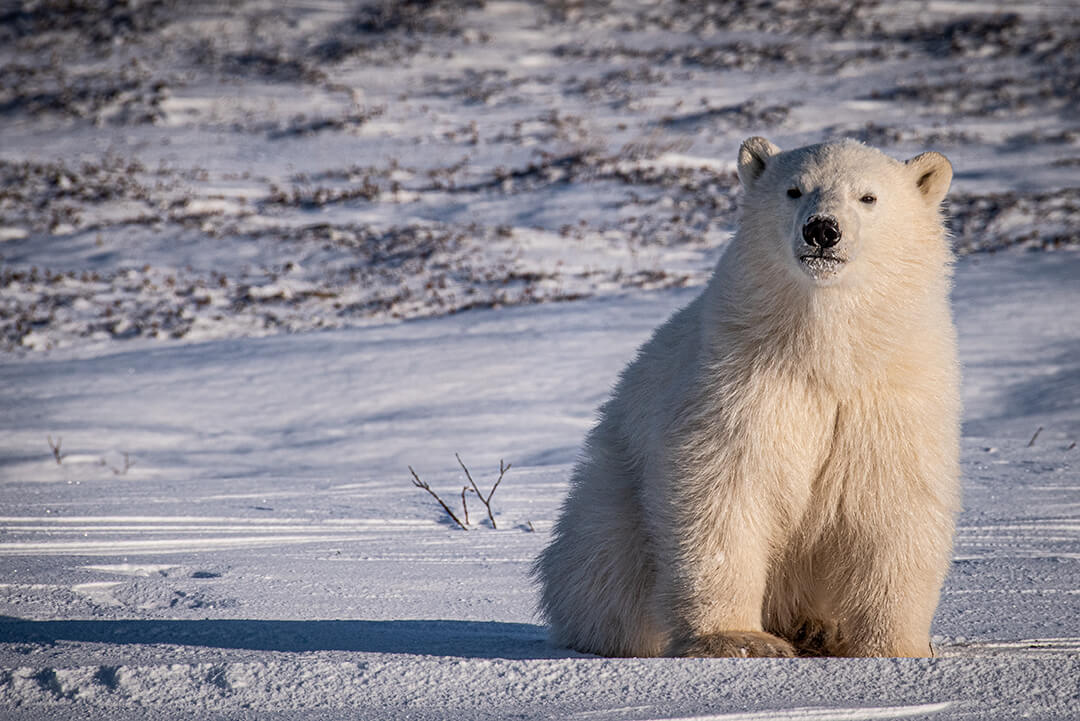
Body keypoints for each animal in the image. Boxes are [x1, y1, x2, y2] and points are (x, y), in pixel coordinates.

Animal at [535, 136, 959, 660]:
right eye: (794, 190)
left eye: (868, 197)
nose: (822, 230)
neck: (822, 353)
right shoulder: (739, 385)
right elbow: (723, 489)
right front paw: (738, 639)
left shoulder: (889, 395)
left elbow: (894, 502)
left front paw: (893, 646)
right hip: (615, 494)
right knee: (606, 562)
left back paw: (818, 628)